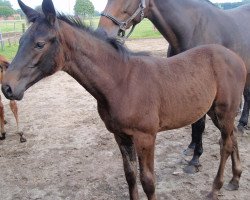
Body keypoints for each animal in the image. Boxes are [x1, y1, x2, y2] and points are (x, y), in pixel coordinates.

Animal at [0, 0, 245, 200]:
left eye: (40, 44)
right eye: (20, 40)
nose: (7, 87)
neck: (121, 81)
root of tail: (236, 58)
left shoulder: (146, 137)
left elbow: (148, 181)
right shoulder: (120, 136)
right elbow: (130, 176)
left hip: (225, 111)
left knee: (225, 144)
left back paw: (215, 188)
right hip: (215, 112)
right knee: (232, 138)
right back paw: (235, 179)